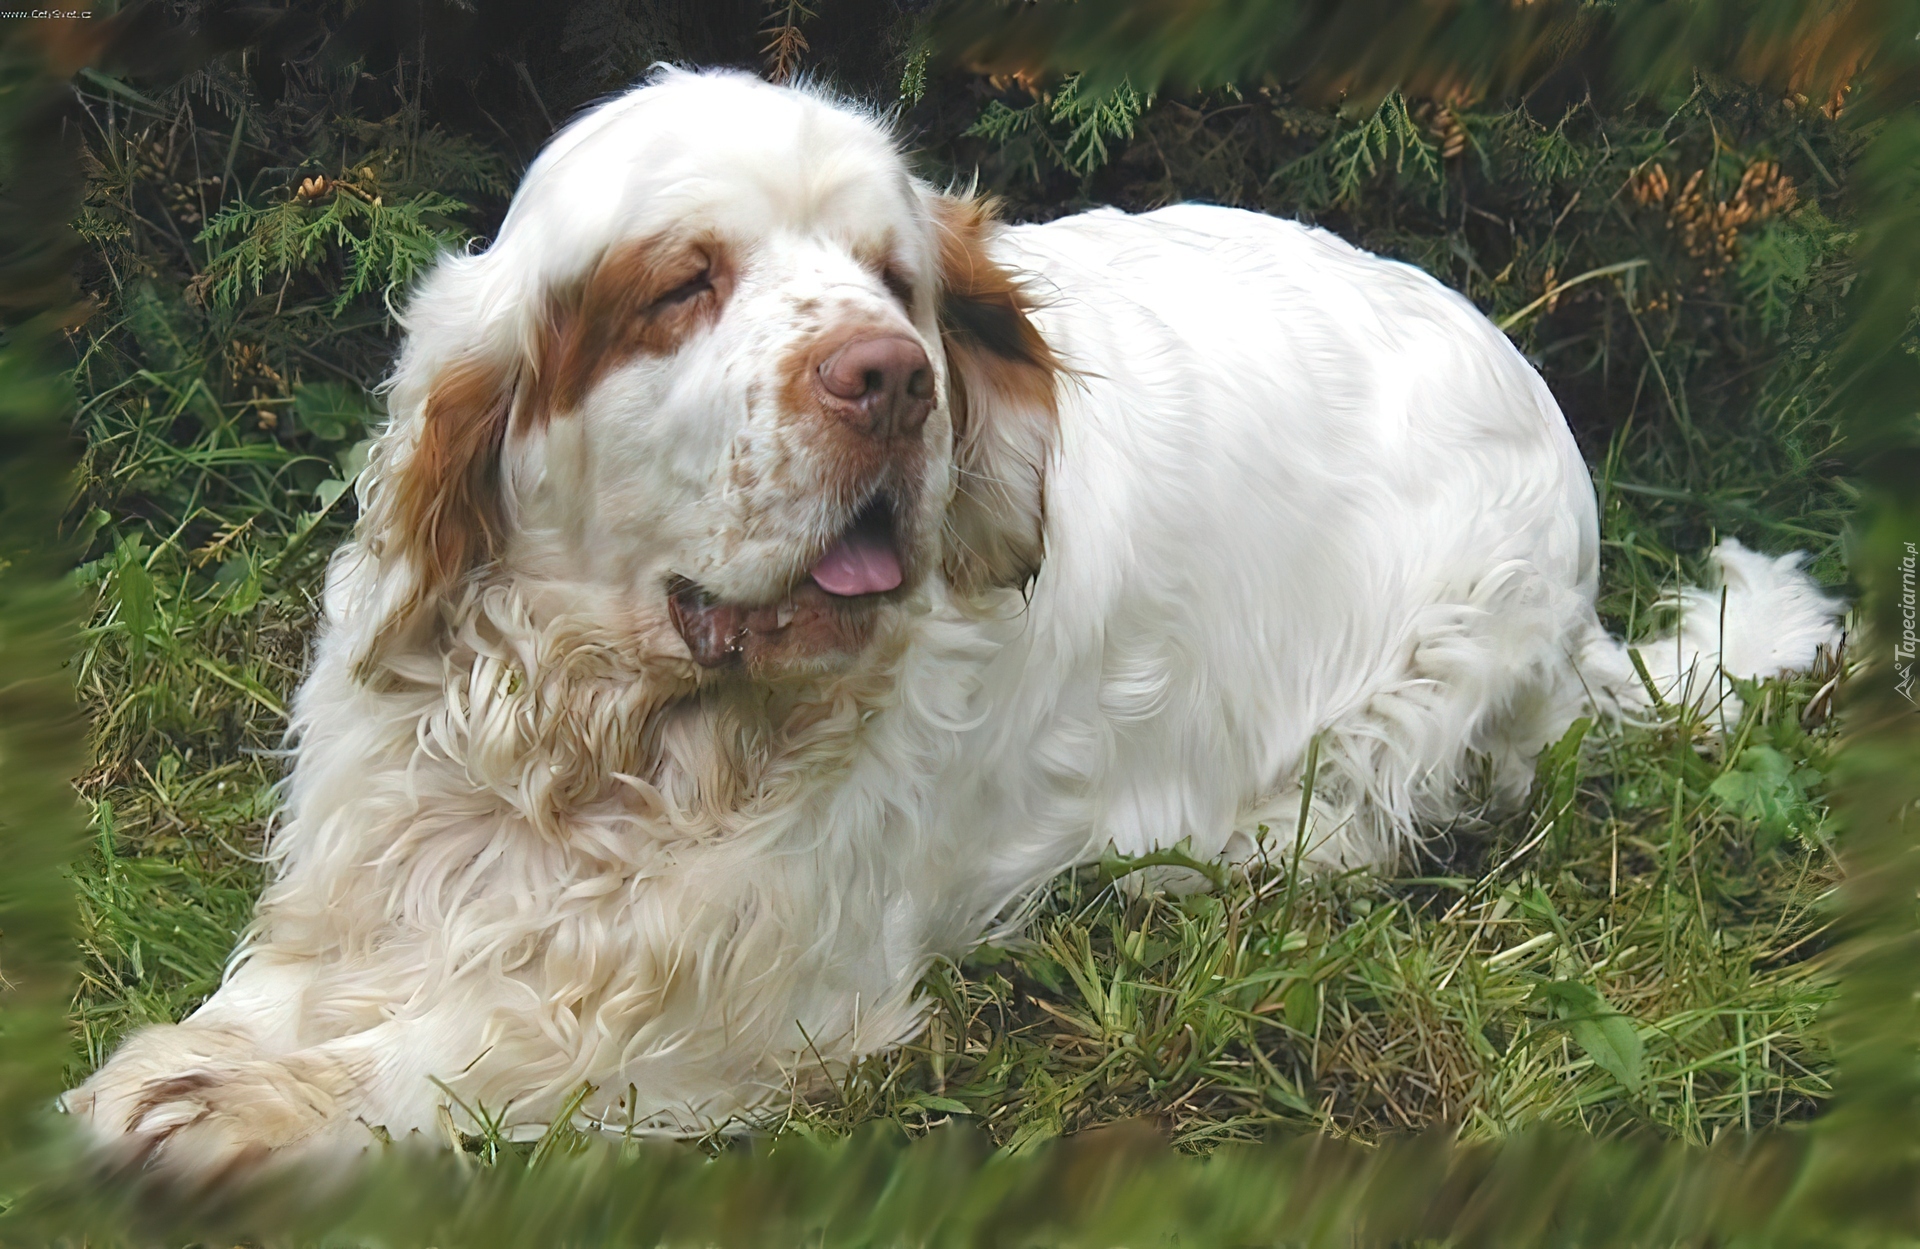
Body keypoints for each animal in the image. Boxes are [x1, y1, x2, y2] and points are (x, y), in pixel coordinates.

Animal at [71, 70, 1843, 1174]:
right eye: (684, 284)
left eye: (891, 278)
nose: (891, 377)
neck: (603, 728)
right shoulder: (377, 875)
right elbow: (274, 992)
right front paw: (190, 1058)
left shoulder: (747, 1001)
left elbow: (465, 1042)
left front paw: (230, 1109)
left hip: (1419, 684)